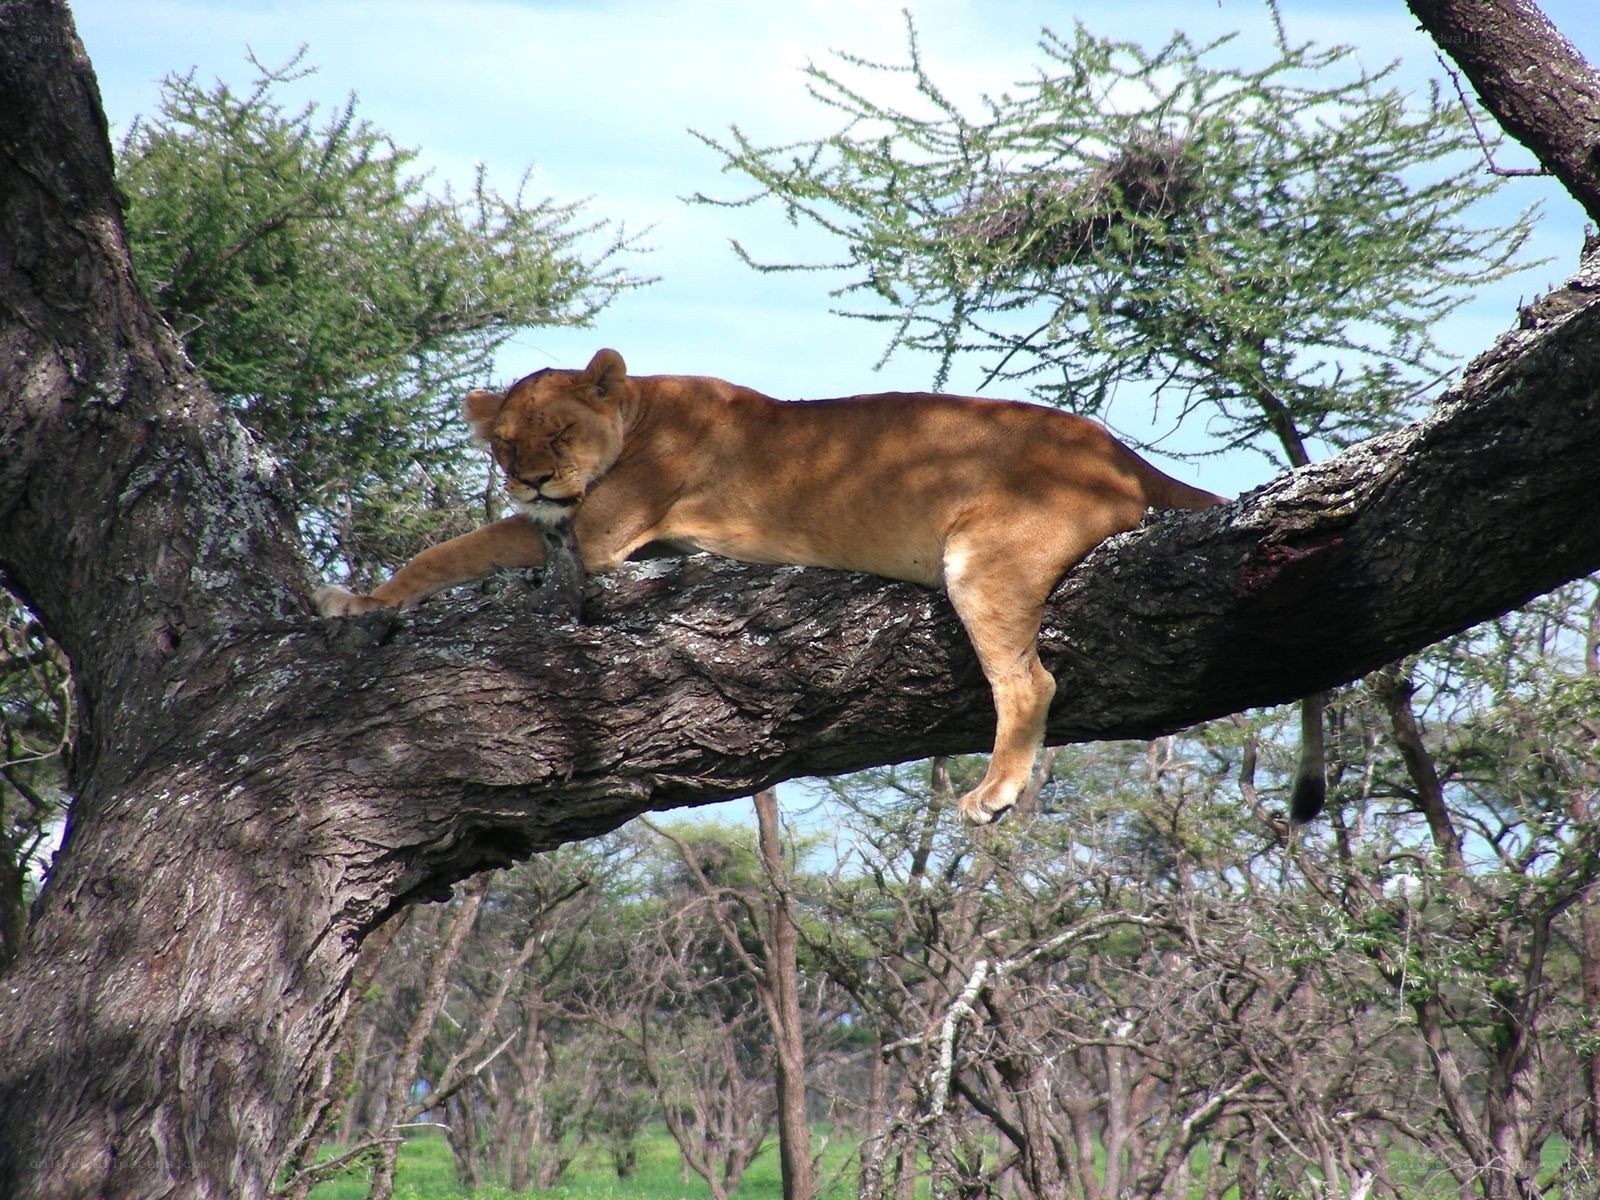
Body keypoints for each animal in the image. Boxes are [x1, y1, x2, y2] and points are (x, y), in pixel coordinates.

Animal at [316, 349, 1226, 824]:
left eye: (561, 431)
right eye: (505, 444)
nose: (532, 478)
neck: (640, 407)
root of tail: (1116, 450)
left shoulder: (601, 530)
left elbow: (457, 548)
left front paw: (356, 600)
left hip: (982, 556)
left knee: (1030, 681)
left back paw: (994, 792)